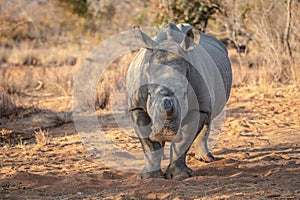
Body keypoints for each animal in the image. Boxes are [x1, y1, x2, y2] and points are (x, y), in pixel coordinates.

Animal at [126, 22, 232, 179]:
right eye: (149, 94)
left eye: (184, 94)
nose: (165, 133)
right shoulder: (137, 106)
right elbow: (149, 143)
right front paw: (149, 177)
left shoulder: (198, 108)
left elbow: (183, 141)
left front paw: (179, 176)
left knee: (209, 116)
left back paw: (206, 159)